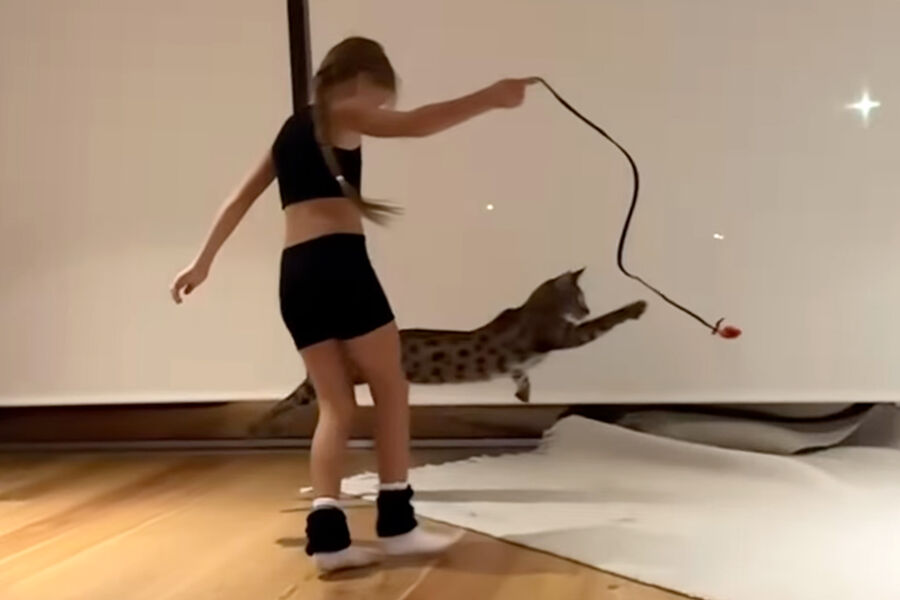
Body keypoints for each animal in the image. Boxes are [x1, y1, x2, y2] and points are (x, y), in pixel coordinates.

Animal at [249, 268, 646, 436]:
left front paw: (524, 393)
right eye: (580, 299)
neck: (534, 308)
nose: (586, 309)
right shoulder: (562, 336)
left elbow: (520, 374)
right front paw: (636, 306)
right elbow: (605, 324)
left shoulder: (524, 360)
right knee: (290, 399)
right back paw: (262, 424)